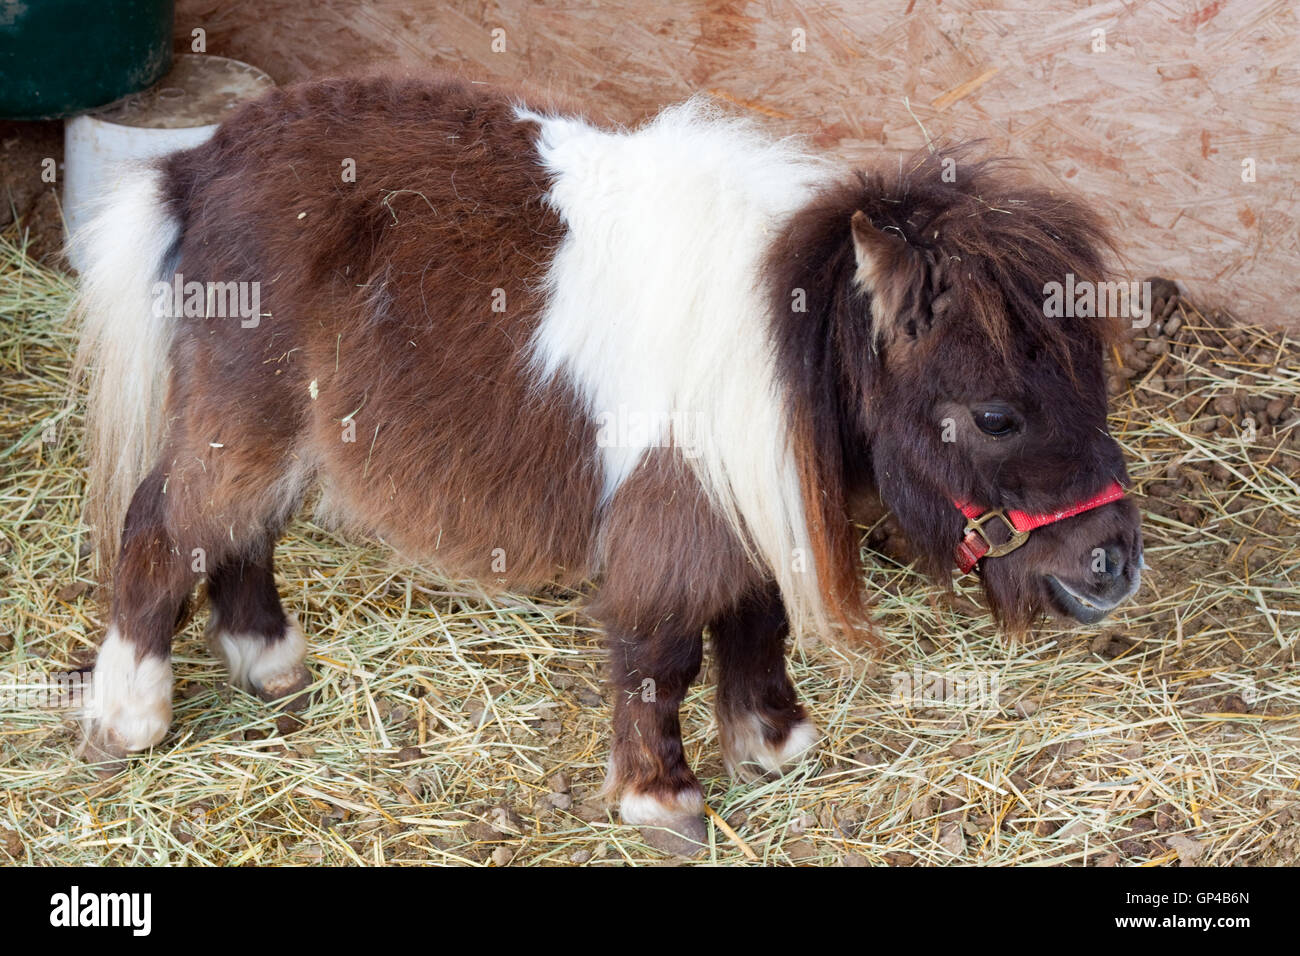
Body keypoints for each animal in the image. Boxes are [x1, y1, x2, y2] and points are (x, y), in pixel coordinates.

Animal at [72, 74, 1143, 850]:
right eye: (996, 415)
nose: (1114, 565)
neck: (784, 329)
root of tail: (196, 167)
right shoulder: (678, 509)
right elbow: (660, 651)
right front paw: (662, 801)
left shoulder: (741, 493)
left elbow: (754, 621)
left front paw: (773, 743)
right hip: (242, 423)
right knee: (165, 528)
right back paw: (127, 721)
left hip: (277, 435)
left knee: (234, 535)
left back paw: (270, 665)